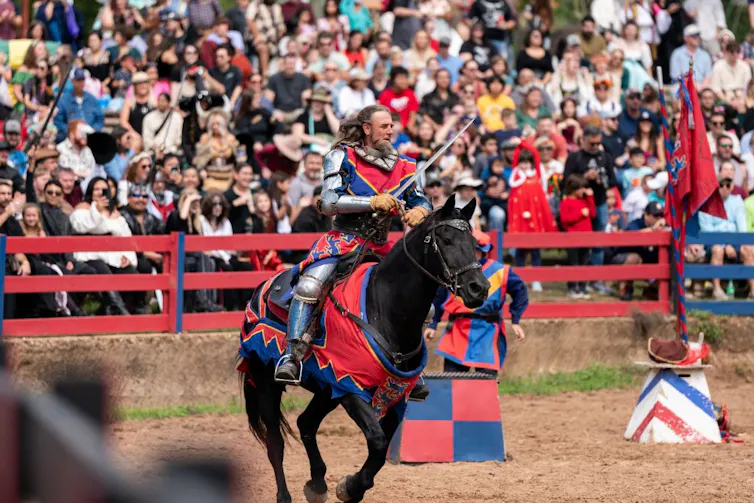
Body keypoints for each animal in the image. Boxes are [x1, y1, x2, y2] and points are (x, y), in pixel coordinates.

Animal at [237, 195, 490, 503]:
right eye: (446, 239)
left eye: (473, 242)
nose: (478, 288)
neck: (383, 308)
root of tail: (260, 289)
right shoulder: (350, 387)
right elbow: (378, 442)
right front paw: (350, 487)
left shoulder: (393, 393)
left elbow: (381, 446)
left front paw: (351, 487)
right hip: (266, 382)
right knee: (275, 442)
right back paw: (286, 494)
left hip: (325, 390)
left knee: (306, 423)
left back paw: (317, 483)